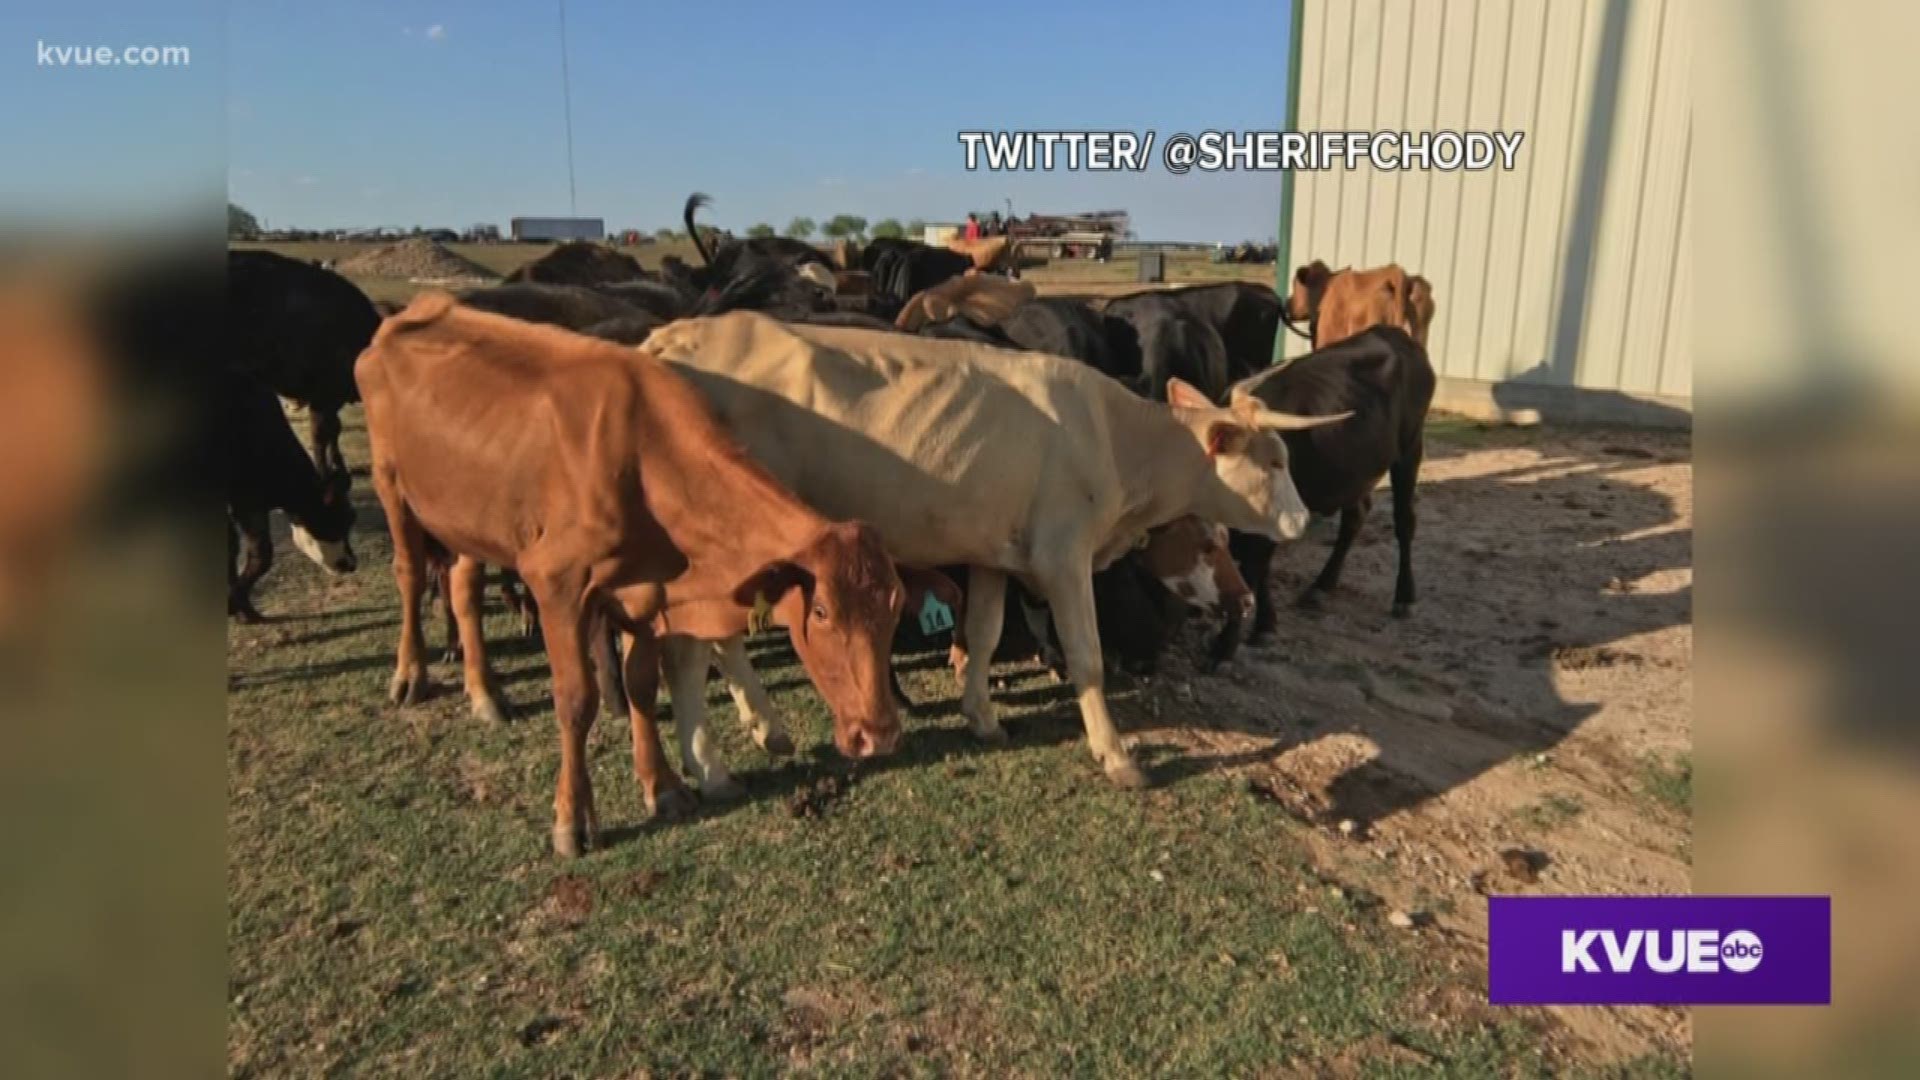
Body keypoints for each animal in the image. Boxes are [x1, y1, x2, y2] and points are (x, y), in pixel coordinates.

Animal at [226, 365, 359, 618]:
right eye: (334, 522)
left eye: (351, 520)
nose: (350, 564)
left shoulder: (248, 502)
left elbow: (256, 553)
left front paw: (244, 611)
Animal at [360, 292, 921, 849]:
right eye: (821, 612)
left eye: (894, 606)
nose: (879, 734)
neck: (643, 457)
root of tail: (417, 310)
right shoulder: (556, 583)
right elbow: (576, 699)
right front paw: (572, 818)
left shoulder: (648, 591)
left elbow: (642, 688)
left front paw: (663, 786)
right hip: (392, 487)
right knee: (409, 574)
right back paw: (410, 675)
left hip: (471, 521)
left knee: (464, 590)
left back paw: (485, 693)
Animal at [645, 307, 1351, 787]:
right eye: (1273, 460)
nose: (1302, 519)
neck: (1113, 437)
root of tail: (673, 339)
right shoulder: (1064, 559)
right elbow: (1088, 658)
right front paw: (1117, 755)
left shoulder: (992, 555)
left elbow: (983, 635)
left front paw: (981, 714)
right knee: (690, 645)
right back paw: (710, 764)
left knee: (719, 638)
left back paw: (765, 728)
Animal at [1205, 319, 1436, 657]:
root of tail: (1392, 333)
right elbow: (1260, 570)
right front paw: (1265, 624)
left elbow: (1252, 571)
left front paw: (1227, 645)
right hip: (1354, 471)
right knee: (1355, 516)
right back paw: (1321, 586)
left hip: (1410, 448)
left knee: (1405, 521)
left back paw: (1404, 596)